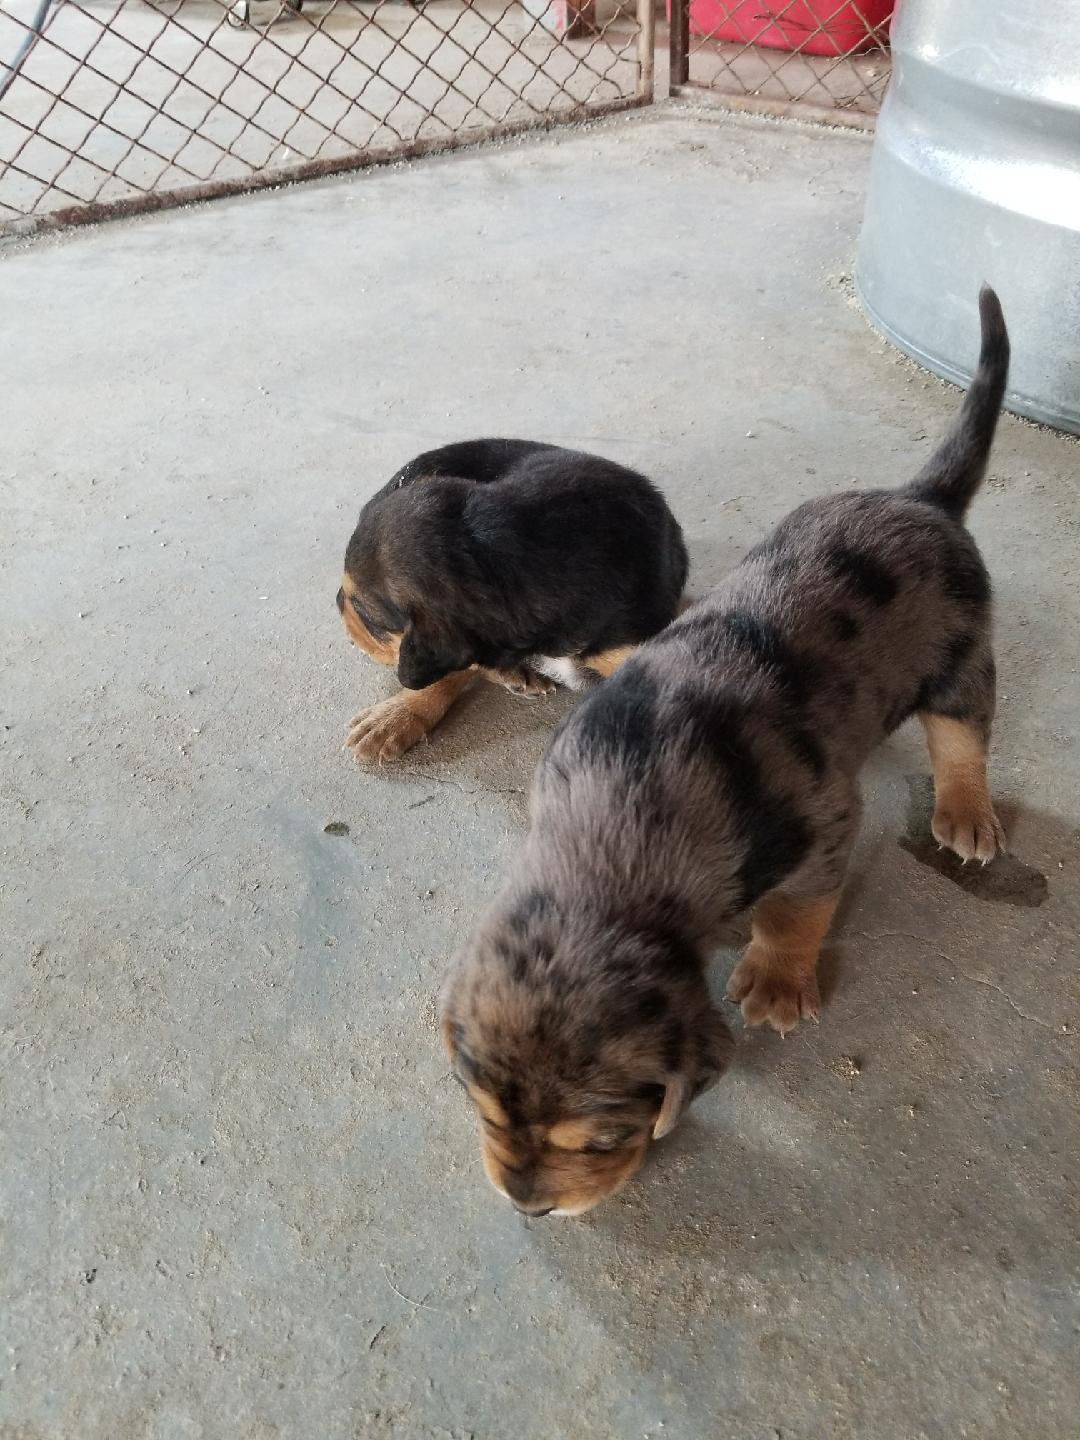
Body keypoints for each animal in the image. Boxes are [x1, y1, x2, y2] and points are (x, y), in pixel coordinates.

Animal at [440, 288, 1011, 1216]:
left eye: (600, 1139)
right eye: (481, 1108)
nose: (528, 1203)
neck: (611, 845)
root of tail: (919, 498)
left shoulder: (821, 833)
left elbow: (794, 915)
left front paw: (776, 982)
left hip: (960, 662)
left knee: (964, 738)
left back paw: (965, 813)